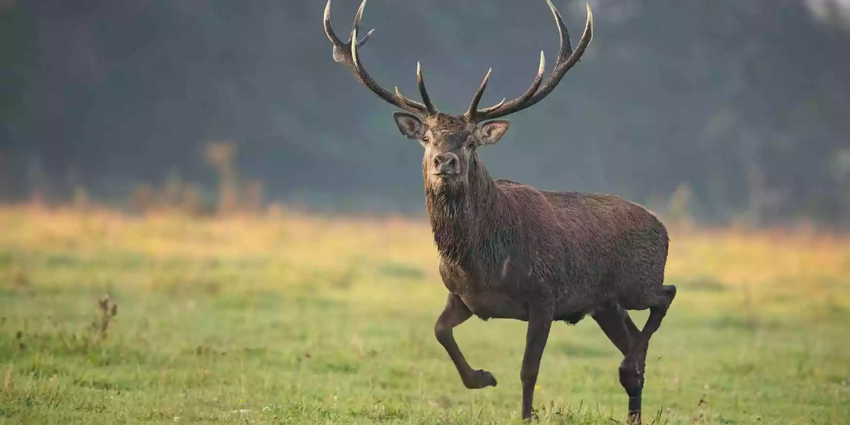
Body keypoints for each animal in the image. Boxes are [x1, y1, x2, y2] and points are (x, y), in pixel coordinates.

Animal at [323, 1, 676, 423]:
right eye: (427, 138)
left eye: (471, 142)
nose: (445, 161)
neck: (482, 263)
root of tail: (663, 227)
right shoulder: (463, 296)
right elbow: (440, 331)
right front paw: (483, 377)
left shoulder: (545, 296)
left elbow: (529, 370)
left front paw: (524, 414)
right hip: (605, 303)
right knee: (634, 343)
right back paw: (633, 401)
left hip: (636, 282)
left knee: (666, 296)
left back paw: (629, 366)